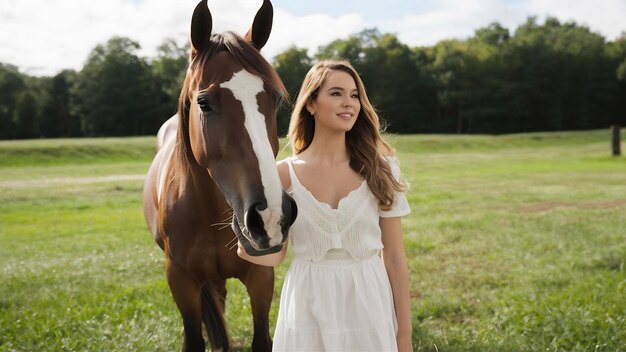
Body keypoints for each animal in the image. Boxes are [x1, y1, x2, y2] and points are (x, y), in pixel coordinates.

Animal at [143, 1, 296, 350]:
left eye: (274, 99)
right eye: (203, 103)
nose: (270, 217)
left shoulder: (260, 276)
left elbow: (261, 338)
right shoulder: (181, 280)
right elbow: (193, 338)